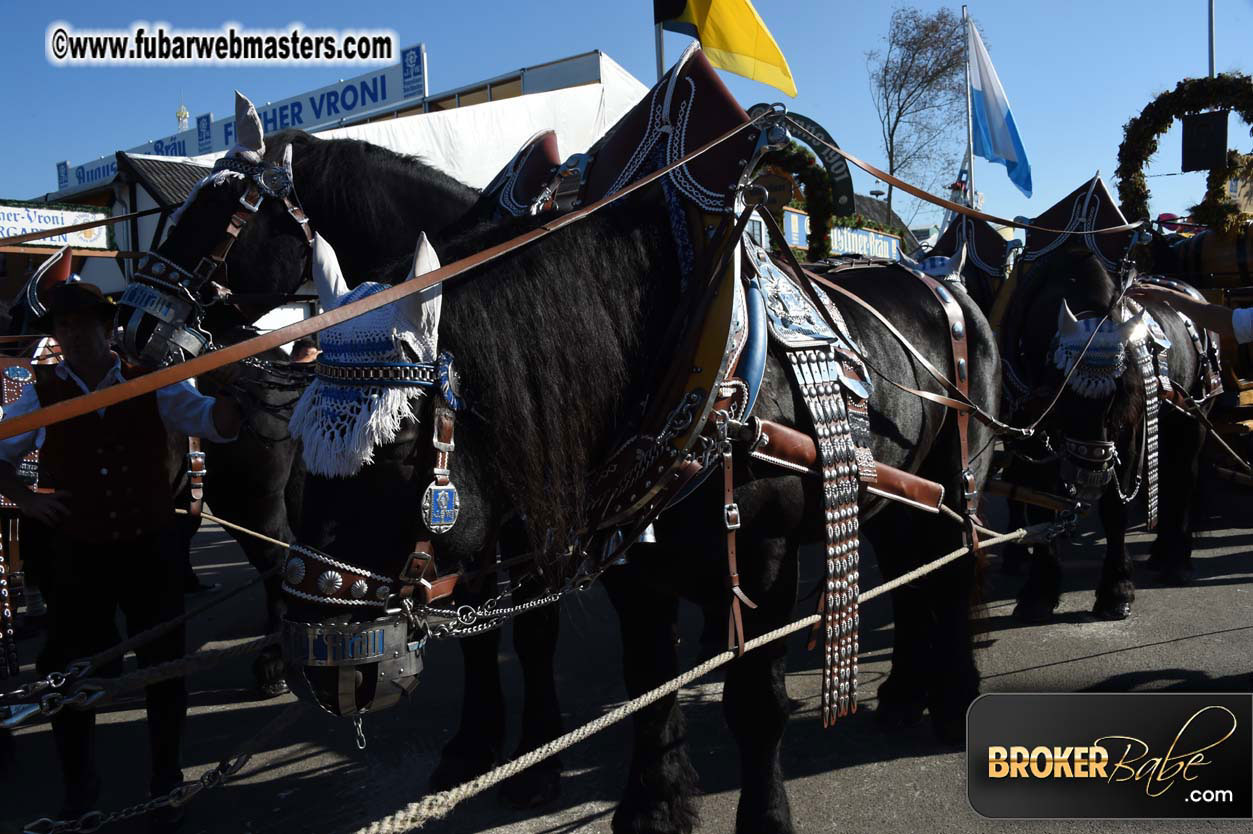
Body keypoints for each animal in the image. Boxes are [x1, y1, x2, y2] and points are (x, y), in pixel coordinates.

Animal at [284, 165, 997, 826]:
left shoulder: (764, 558)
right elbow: (648, 682)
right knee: (908, 571)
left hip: (962, 474)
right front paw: (654, 805)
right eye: (298, 435)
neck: (694, 371)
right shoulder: (629, 566)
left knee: (952, 568)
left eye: (399, 445)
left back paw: (955, 695)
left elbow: (755, 701)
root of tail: (942, 281)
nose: (321, 660)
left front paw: (765, 816)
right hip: (891, 494)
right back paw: (903, 691)